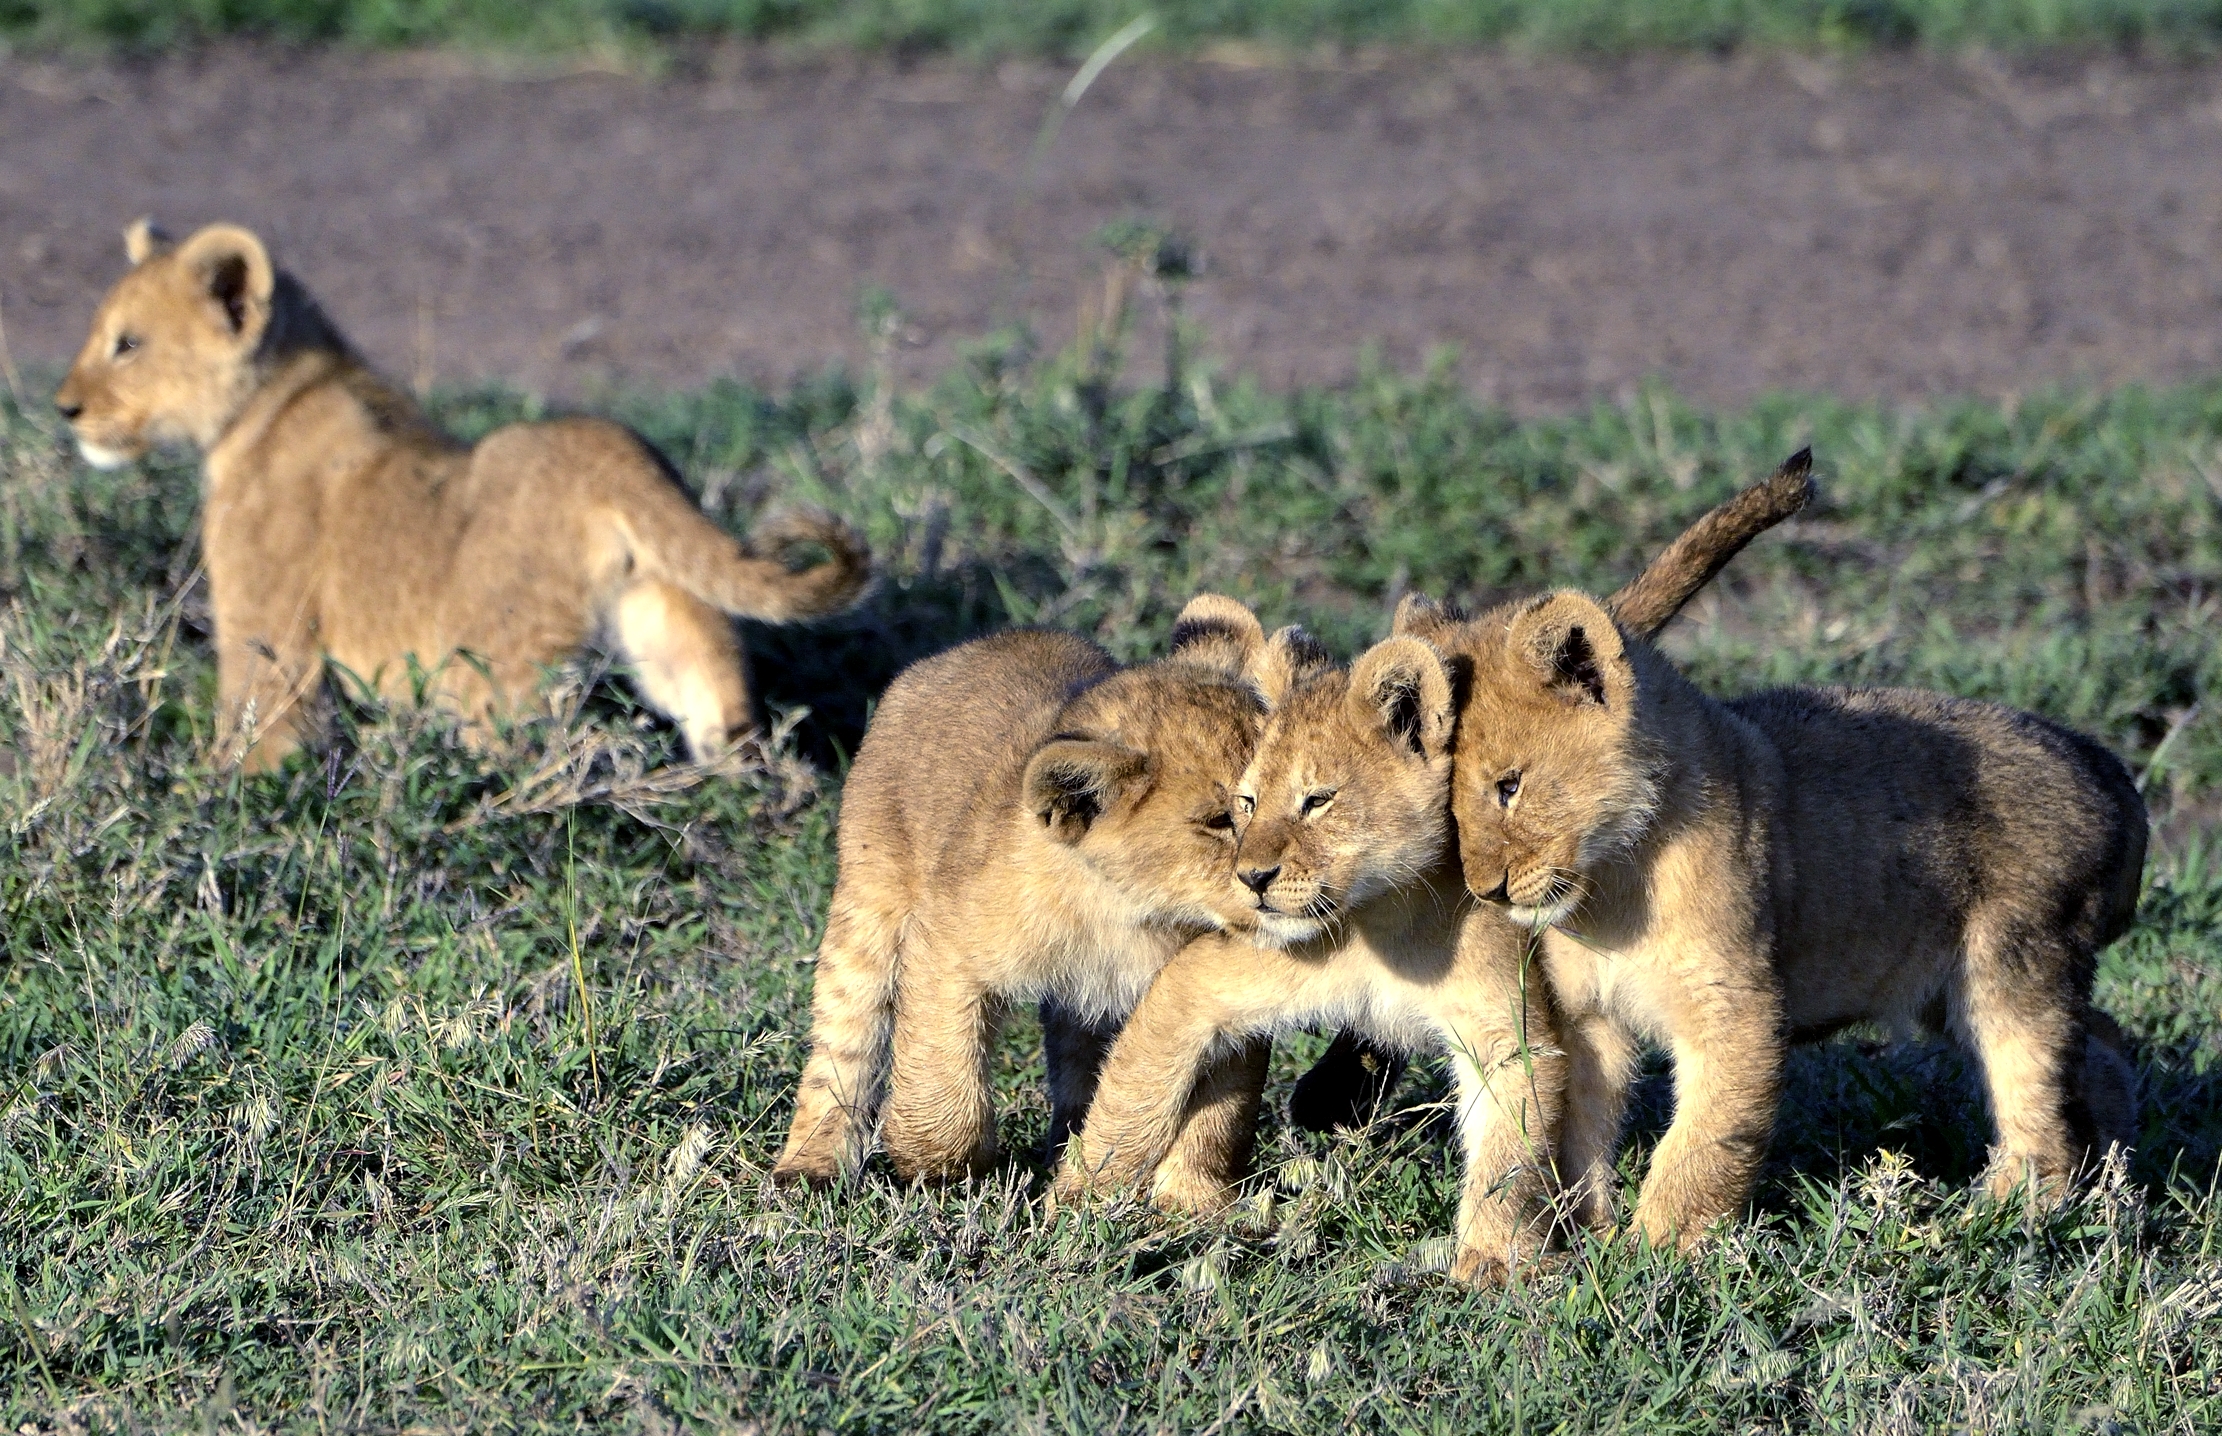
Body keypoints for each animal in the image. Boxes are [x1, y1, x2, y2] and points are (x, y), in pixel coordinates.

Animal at [52, 219, 868, 771]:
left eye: (127, 344)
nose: (65, 408)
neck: (277, 395)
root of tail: (613, 455)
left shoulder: (271, 623)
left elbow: (263, 719)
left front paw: (228, 796)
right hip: (669, 606)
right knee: (722, 707)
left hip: (491, 671)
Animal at [1059, 454, 1817, 1278]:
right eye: (1246, 804)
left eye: (1318, 801)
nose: (1251, 879)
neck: (1381, 920)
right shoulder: (1225, 973)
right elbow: (1138, 1085)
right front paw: (1077, 1203)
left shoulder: (1509, 1025)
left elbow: (1510, 1154)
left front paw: (1490, 1261)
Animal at [1422, 578, 2146, 1248]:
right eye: (1445, 810)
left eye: (1509, 787)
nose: (1486, 891)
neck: (1614, 889)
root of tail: (2104, 766)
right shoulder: (1589, 1019)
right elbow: (1581, 1132)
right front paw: (1587, 1236)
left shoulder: (1737, 1011)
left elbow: (1702, 1144)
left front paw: (1655, 1254)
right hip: (1941, 986)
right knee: (2100, 1039)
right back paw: (2113, 1174)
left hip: (2010, 966)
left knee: (2039, 1109)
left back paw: (1992, 1221)